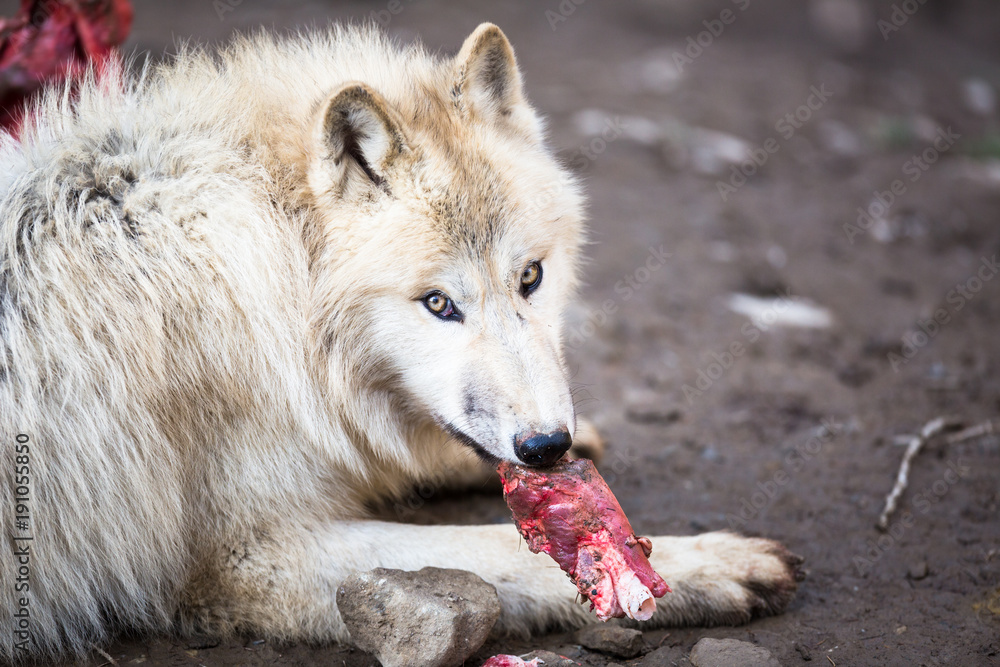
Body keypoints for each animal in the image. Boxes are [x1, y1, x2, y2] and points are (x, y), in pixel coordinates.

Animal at [0, 23, 802, 661]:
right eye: (439, 303)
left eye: (532, 277)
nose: (547, 445)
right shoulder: (244, 558)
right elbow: (494, 551)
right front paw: (703, 565)